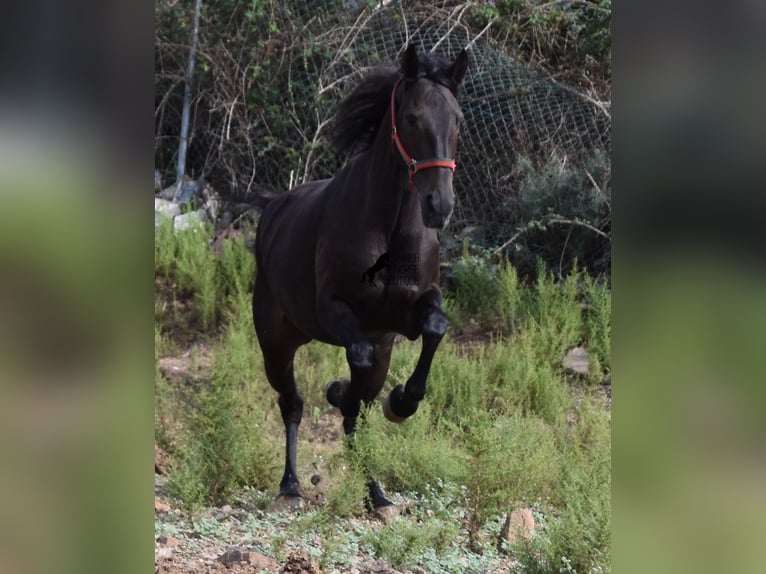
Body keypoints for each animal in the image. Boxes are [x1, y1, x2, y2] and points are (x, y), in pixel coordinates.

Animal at [254, 46, 468, 512]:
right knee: (292, 402)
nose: (439, 205)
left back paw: (376, 493)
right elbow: (357, 361)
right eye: (412, 118)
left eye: (458, 119)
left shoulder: (408, 314)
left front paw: (401, 402)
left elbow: (435, 328)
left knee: (355, 418)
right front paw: (343, 392)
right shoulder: (336, 312)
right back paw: (291, 484)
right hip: (276, 342)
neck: (390, 228)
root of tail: (274, 208)